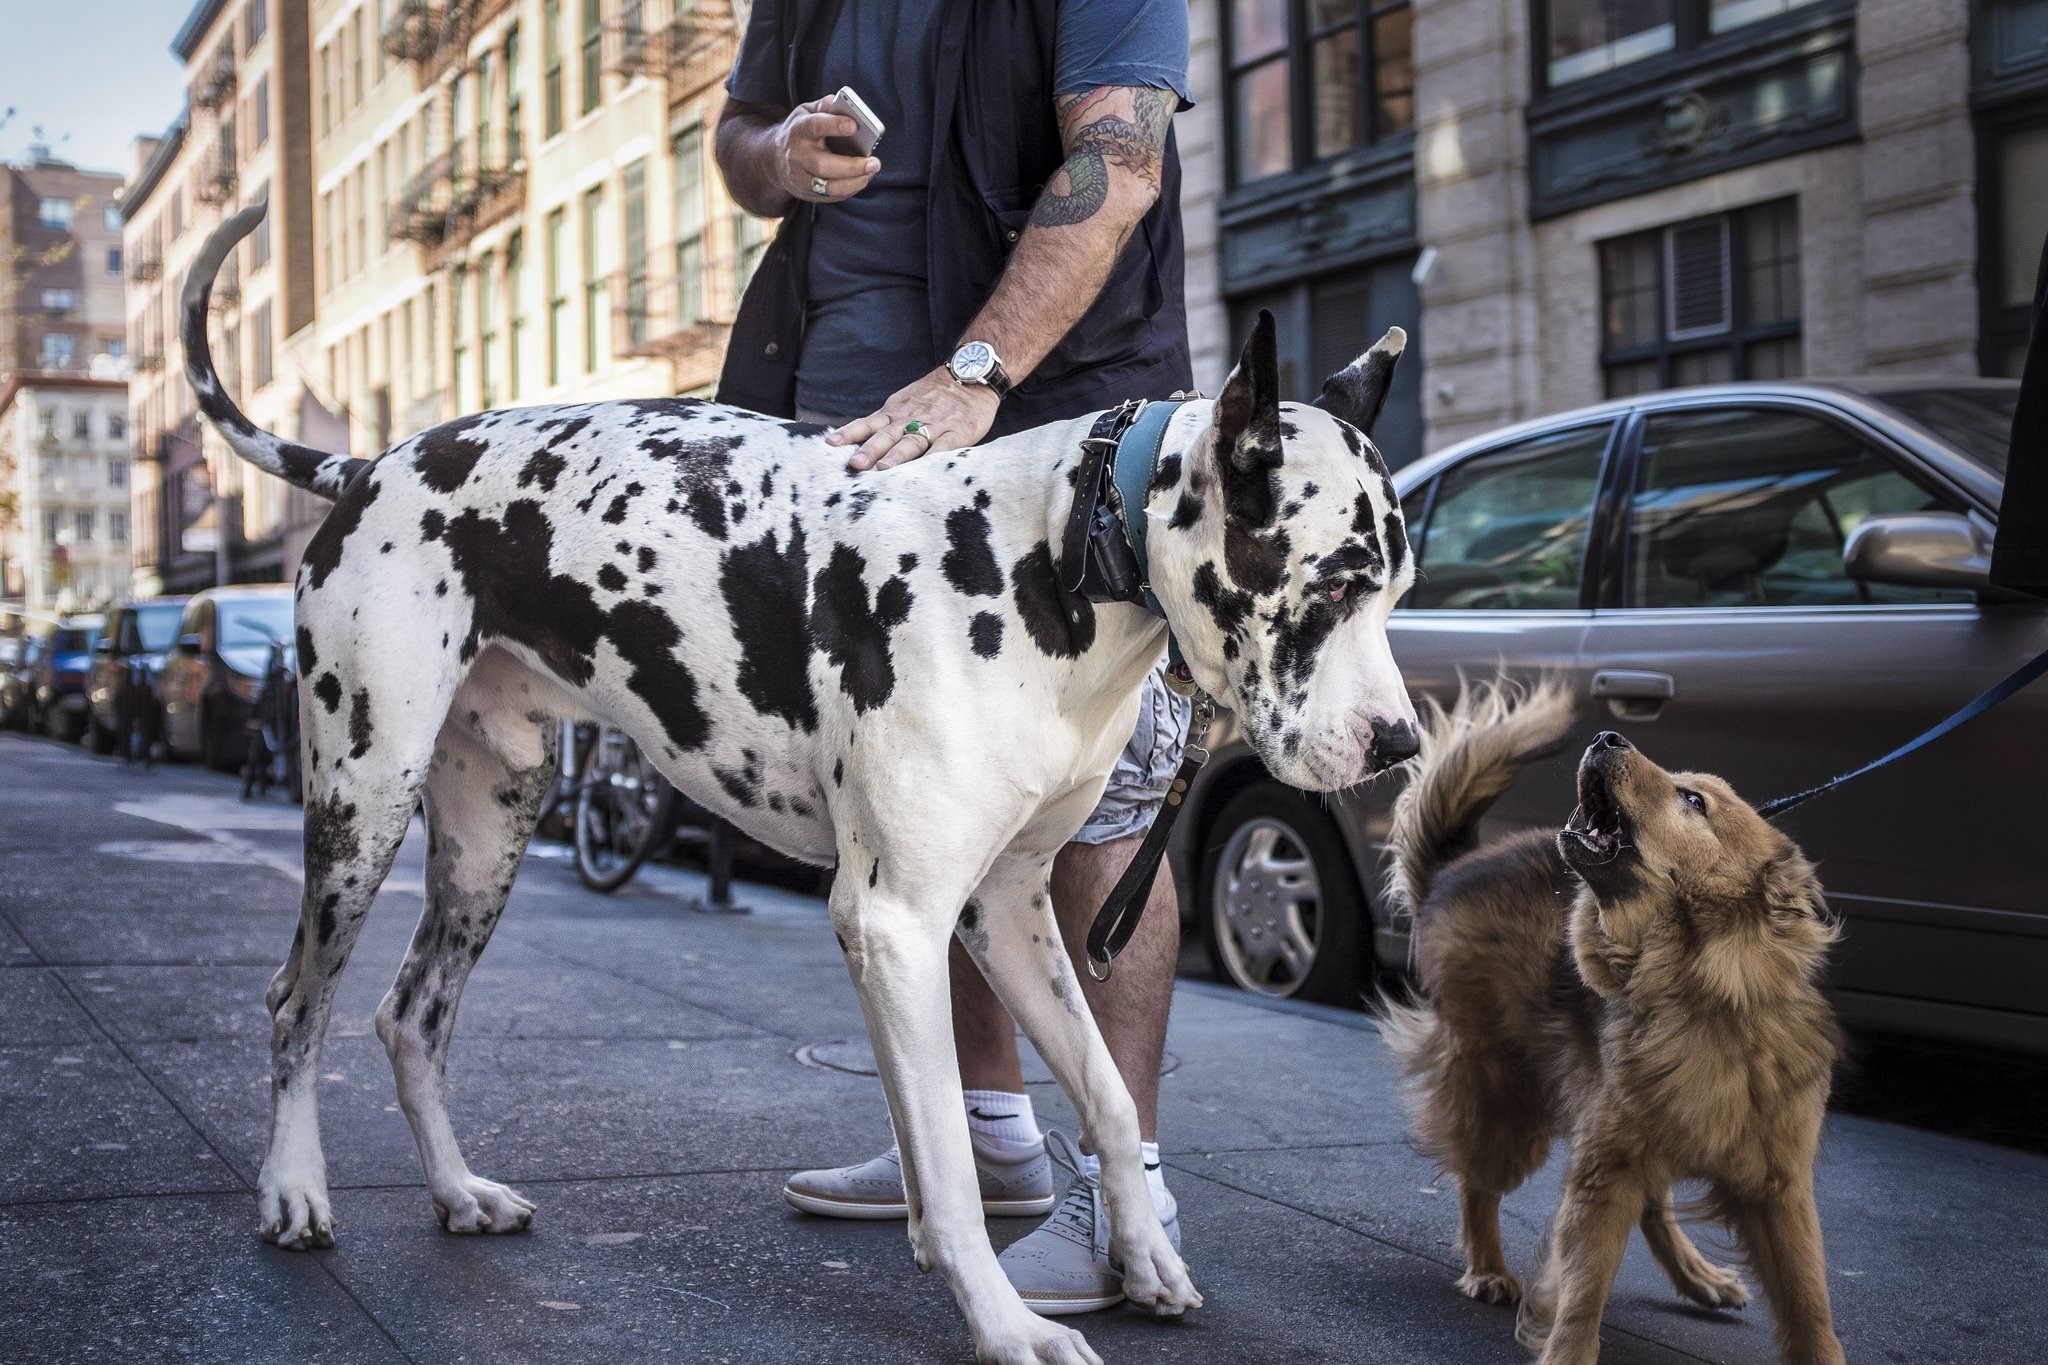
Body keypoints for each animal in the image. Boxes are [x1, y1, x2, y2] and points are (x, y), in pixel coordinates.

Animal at [184, 202, 1417, 1365]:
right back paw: (293, 1190)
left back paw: (454, 1192)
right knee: (298, 1002)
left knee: (412, 1016)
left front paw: (1145, 1254)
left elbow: (1106, 1092)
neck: (1058, 548)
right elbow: (952, 1165)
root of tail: (367, 467)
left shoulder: (1007, 906)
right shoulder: (899, 921)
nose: (1400, 745)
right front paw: (1003, 1321)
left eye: (1397, 587)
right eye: (1335, 582)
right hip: (363, 800)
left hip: (489, 827)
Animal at [1384, 683, 1851, 1365]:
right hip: (1507, 1100)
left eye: (1693, 800)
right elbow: (1583, 1294)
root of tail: (1452, 870)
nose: (1607, 738)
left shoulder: (1777, 1185)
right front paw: (1566, 1351)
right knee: (1478, 1183)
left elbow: (1810, 1301)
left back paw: (1697, 1276)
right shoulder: (1604, 1174)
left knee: (1654, 1205)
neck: (1695, 995)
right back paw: (1487, 1268)